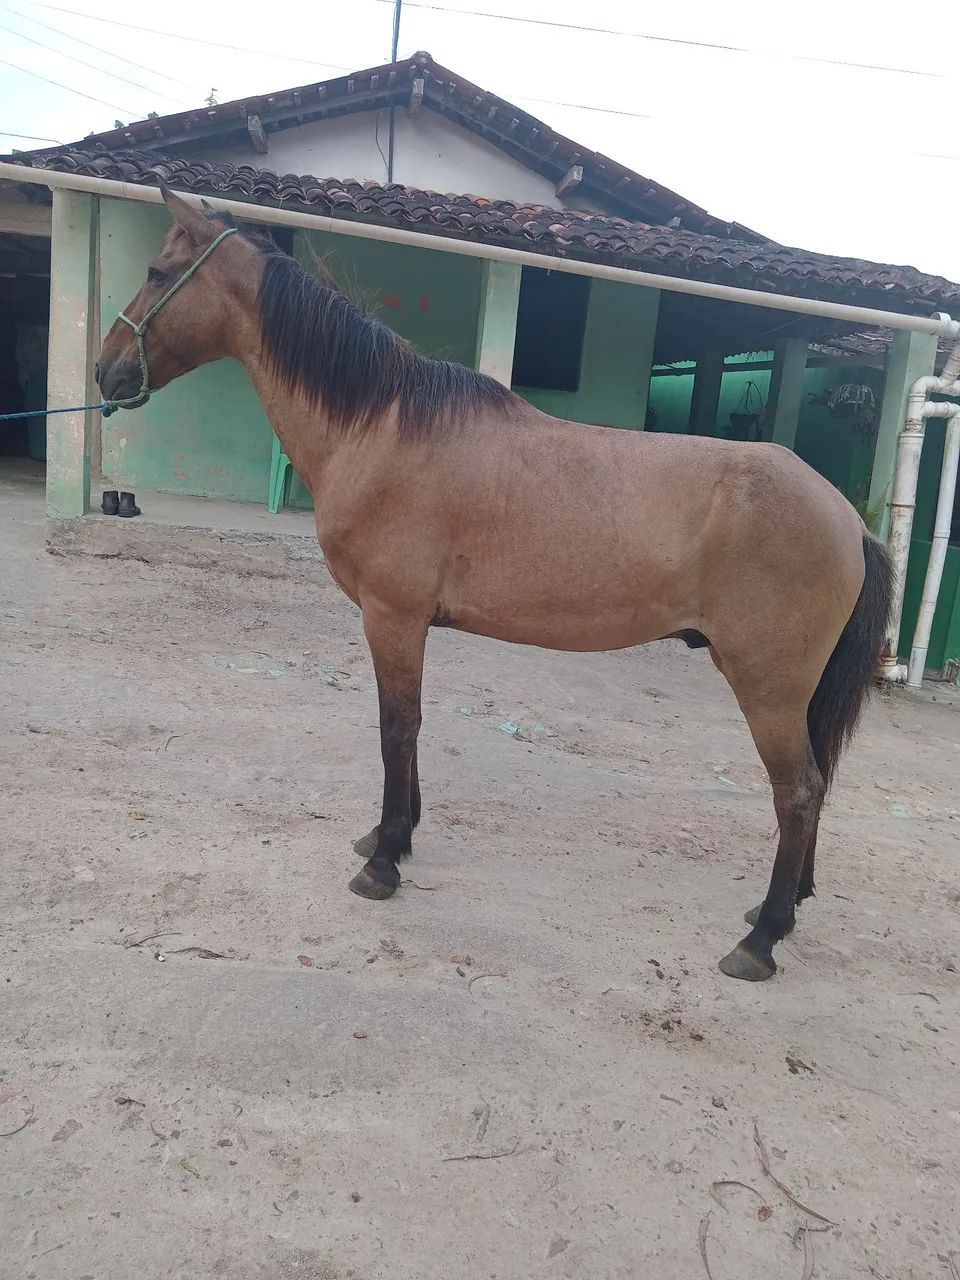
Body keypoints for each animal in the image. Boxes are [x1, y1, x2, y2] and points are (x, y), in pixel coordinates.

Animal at [96, 184, 893, 982]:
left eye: (157, 271)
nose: (106, 372)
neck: (381, 429)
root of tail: (847, 519)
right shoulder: (407, 622)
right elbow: (408, 725)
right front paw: (392, 838)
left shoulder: (391, 615)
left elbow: (397, 727)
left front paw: (382, 864)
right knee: (815, 782)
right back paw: (782, 908)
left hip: (768, 686)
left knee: (798, 791)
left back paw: (762, 941)